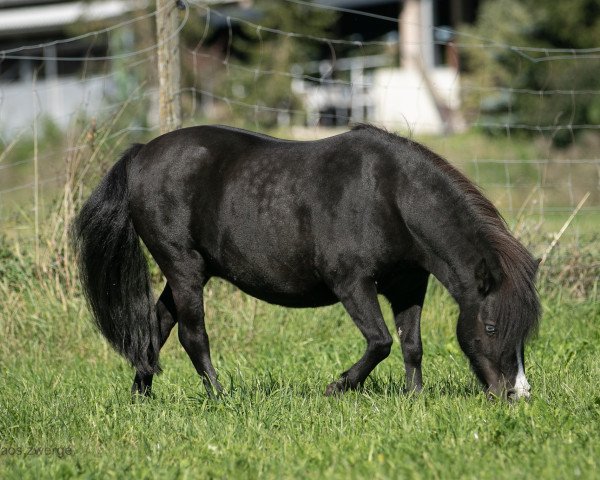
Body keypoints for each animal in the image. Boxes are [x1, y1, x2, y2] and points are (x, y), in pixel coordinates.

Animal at [72, 123, 540, 398]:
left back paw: (142, 392)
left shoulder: (407, 284)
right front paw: (337, 387)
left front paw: (415, 398)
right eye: (492, 327)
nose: (517, 394)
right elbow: (380, 342)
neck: (390, 195)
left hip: (189, 272)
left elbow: (411, 344)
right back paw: (220, 397)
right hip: (182, 266)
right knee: (192, 335)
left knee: (158, 324)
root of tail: (141, 153)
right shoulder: (352, 283)